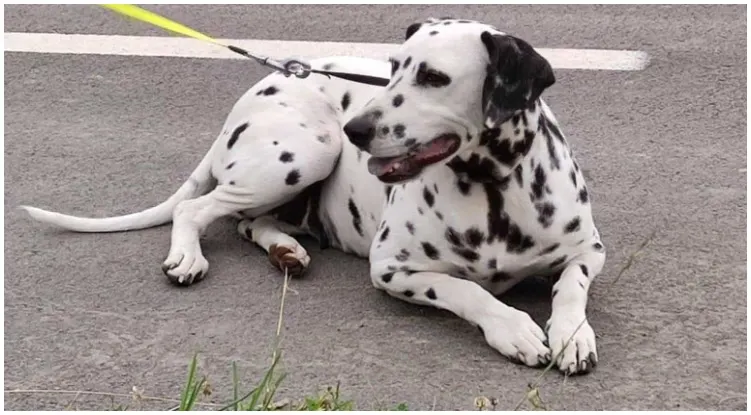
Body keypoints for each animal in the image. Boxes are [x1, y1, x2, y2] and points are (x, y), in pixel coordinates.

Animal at [20, 17, 608, 376]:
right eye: (393, 69)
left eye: (433, 77)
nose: (358, 129)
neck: (491, 185)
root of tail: (267, 83)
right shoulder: (392, 269)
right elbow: (466, 291)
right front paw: (512, 327)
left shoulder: (589, 251)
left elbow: (571, 287)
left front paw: (572, 333)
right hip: (304, 153)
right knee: (197, 208)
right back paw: (188, 255)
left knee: (248, 223)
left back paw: (286, 249)